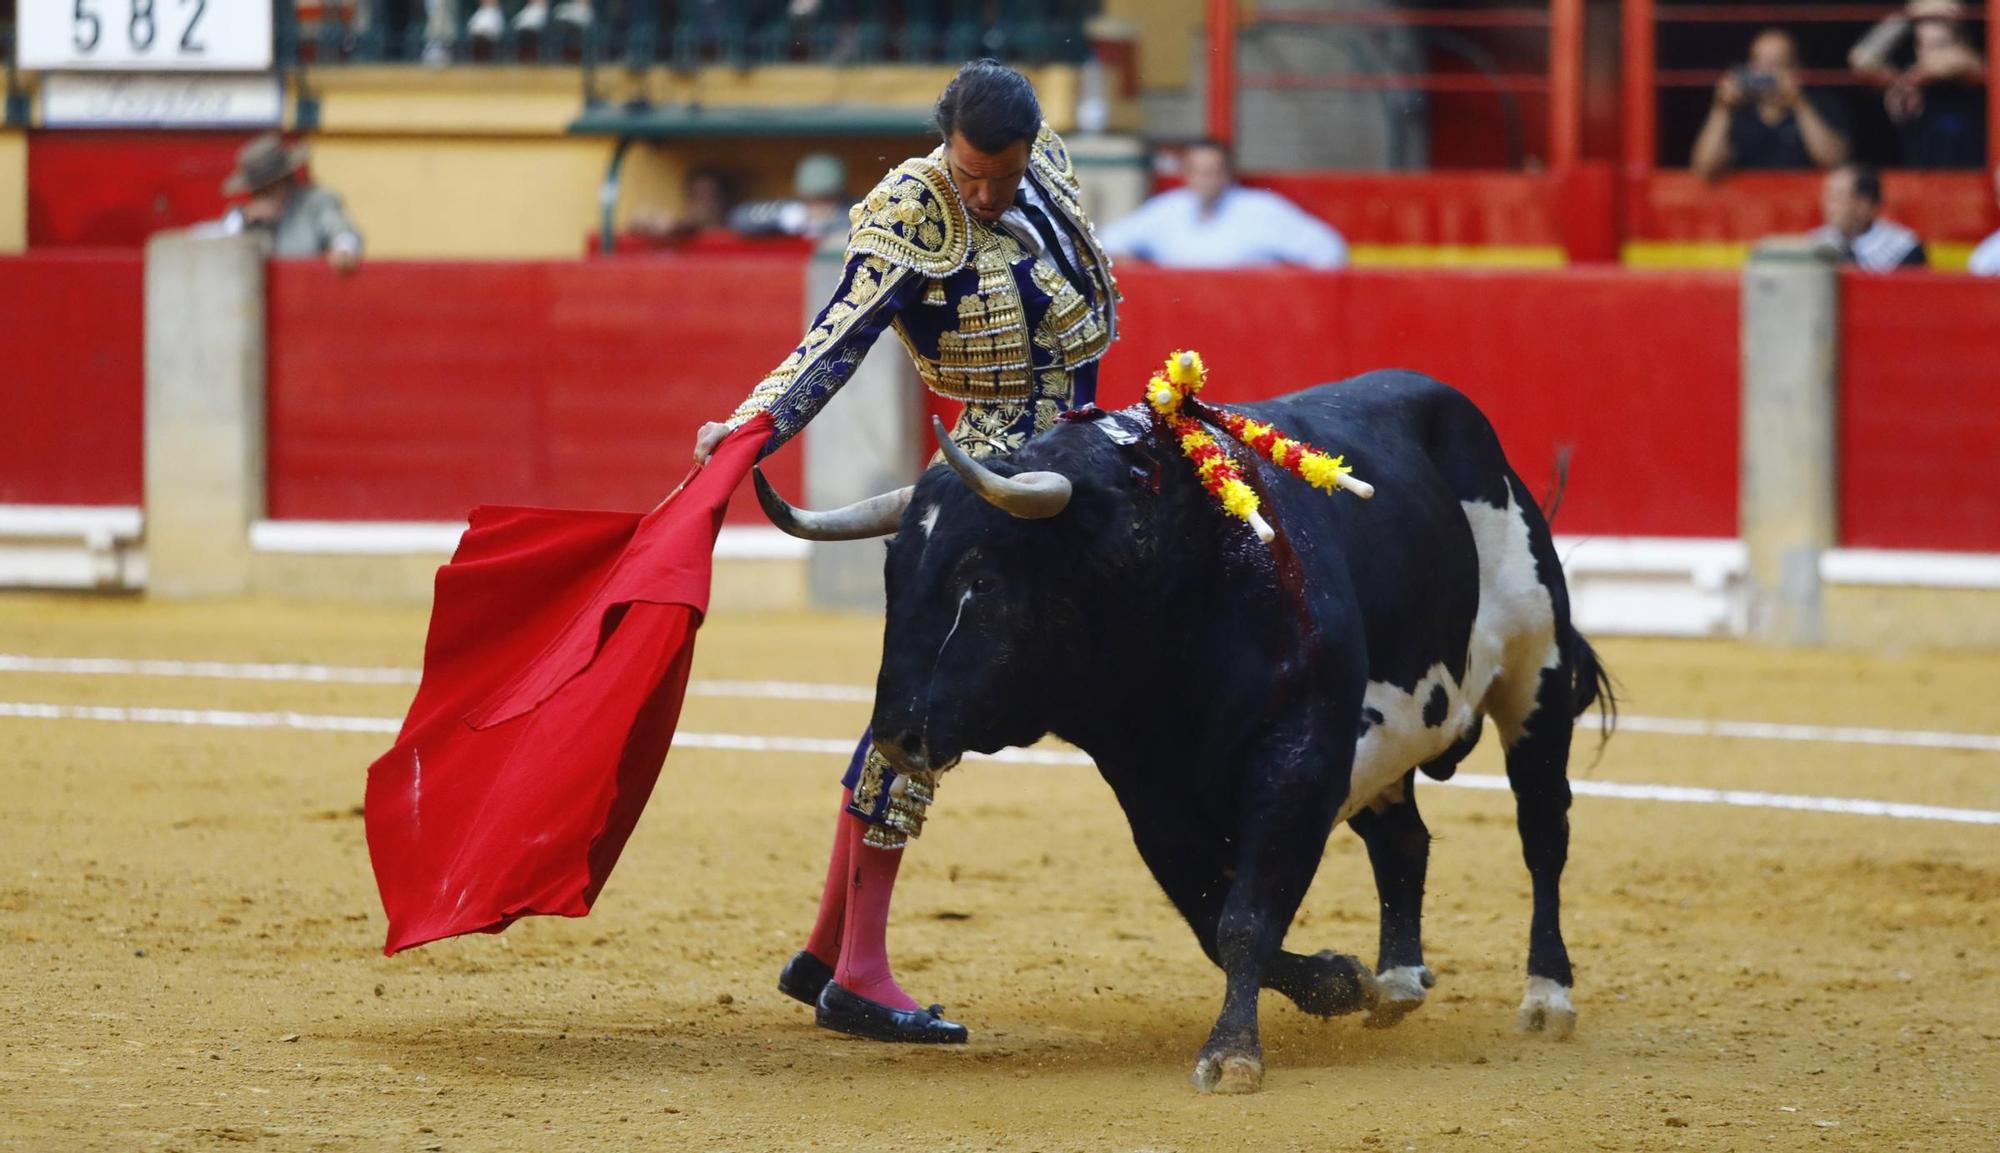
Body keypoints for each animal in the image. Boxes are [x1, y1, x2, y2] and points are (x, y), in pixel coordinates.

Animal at [756, 374, 1616, 1096]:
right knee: (1404, 840)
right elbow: (1212, 916)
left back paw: (1547, 997)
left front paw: (1233, 1054)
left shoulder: (1299, 756)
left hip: (1534, 678)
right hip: (1387, 744)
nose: (897, 733)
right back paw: (1397, 982)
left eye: (981, 578)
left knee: (1543, 831)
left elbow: (1245, 915)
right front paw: (1339, 980)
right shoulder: (1150, 791)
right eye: (892, 575)